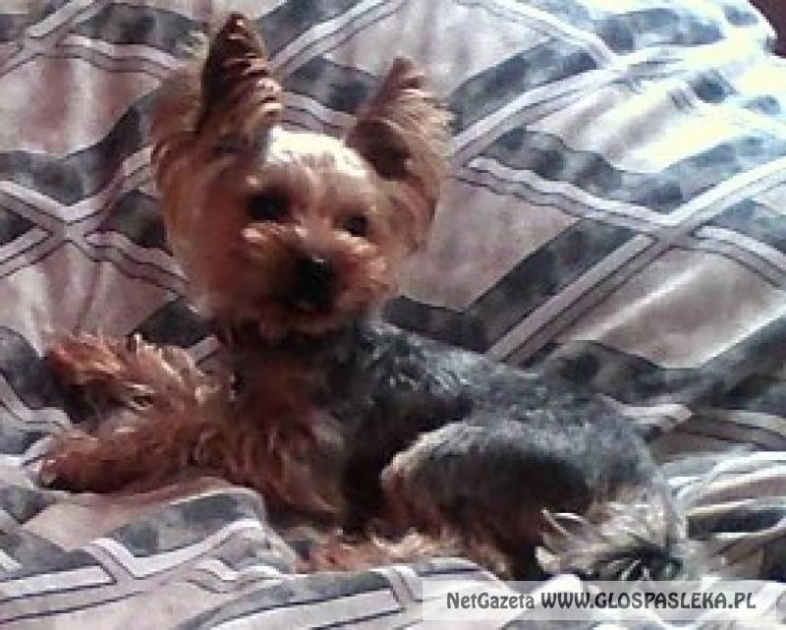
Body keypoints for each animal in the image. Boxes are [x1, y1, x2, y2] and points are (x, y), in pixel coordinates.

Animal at [40, 13, 698, 580]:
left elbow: (193, 422)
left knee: (481, 551)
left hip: (441, 456)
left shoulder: (302, 460)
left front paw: (93, 455)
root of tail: (648, 497)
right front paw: (89, 357)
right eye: (267, 205)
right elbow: (179, 379)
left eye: (358, 224)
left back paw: (346, 556)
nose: (320, 266)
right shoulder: (238, 389)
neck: (292, 338)